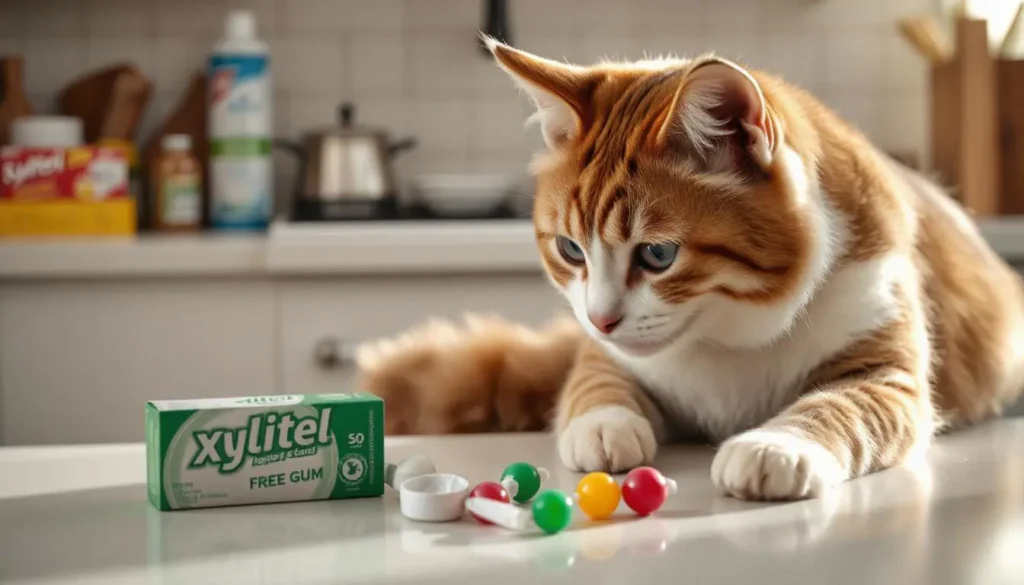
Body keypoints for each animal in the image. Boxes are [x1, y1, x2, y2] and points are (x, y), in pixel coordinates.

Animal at [354, 38, 1024, 502]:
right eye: (571, 250)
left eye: (657, 255)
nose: (600, 319)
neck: (729, 333)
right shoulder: (599, 352)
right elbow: (594, 381)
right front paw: (604, 422)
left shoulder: (888, 371)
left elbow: (839, 407)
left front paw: (774, 445)